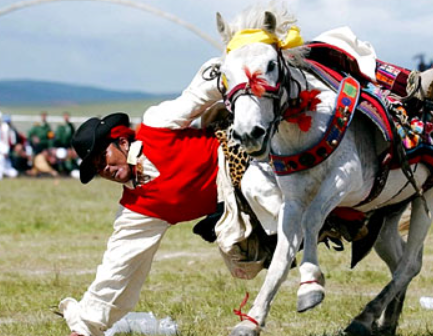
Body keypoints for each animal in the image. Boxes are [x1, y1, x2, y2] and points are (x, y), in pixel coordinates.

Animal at [215, 4, 432, 336]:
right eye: (223, 73)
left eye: (270, 65)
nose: (249, 133)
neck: (304, 125)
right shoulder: (292, 199)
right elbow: (282, 254)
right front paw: (251, 321)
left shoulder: (347, 178)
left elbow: (313, 219)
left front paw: (310, 286)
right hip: (391, 210)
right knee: (403, 260)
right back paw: (385, 322)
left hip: (426, 198)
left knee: (409, 264)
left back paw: (364, 318)